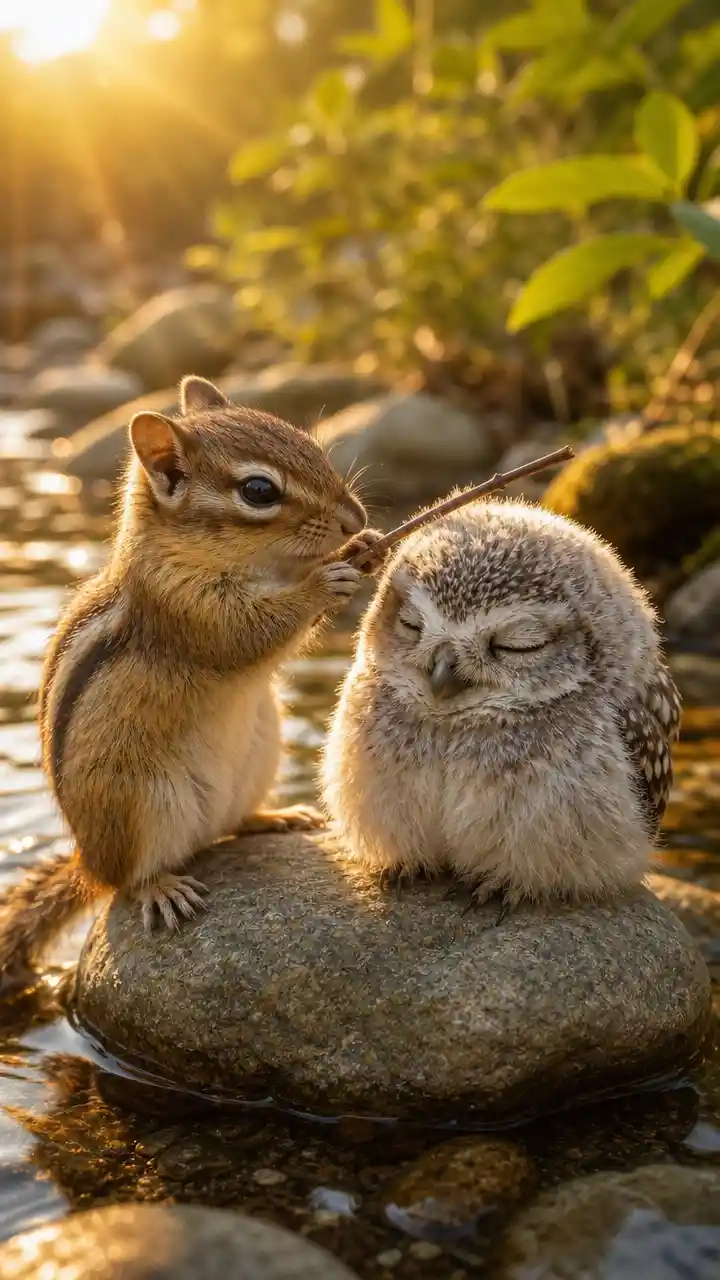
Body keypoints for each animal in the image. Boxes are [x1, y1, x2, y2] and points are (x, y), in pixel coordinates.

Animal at [0, 374, 382, 988]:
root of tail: (88, 858)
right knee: (126, 881)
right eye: (259, 491)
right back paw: (159, 887)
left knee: (229, 824)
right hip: (140, 803)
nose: (353, 516)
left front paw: (364, 546)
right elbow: (250, 632)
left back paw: (274, 816)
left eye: (313, 446)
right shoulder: (187, 609)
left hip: (259, 758)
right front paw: (325, 581)